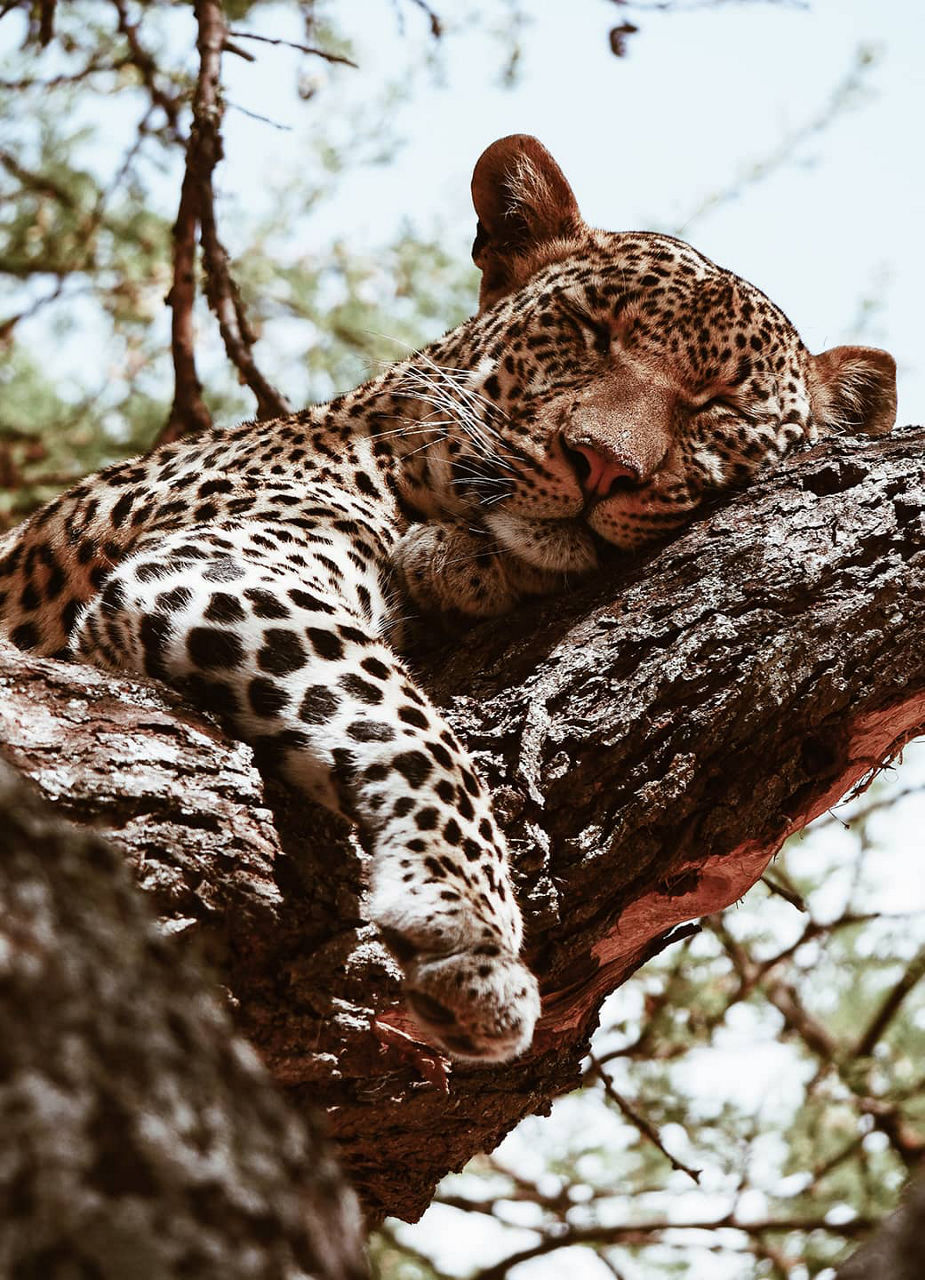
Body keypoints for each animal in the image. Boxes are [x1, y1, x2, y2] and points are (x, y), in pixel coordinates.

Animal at [0, 135, 895, 1064]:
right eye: (590, 331)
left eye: (718, 406)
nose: (601, 463)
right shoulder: (216, 564)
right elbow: (409, 728)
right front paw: (466, 928)